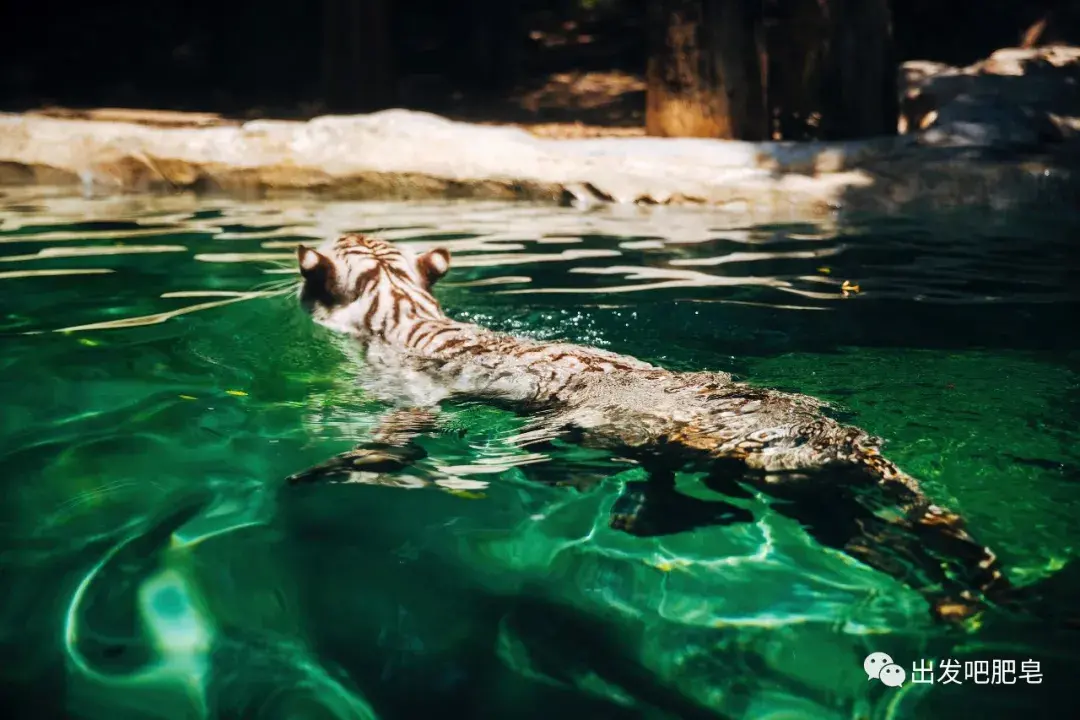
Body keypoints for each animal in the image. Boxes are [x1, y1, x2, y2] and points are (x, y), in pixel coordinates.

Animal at [282, 232, 1015, 626]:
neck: (401, 306)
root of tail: (842, 442)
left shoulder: (405, 398)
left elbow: (387, 442)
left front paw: (320, 469)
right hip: (814, 497)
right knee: (886, 535)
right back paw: (965, 598)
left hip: (773, 476)